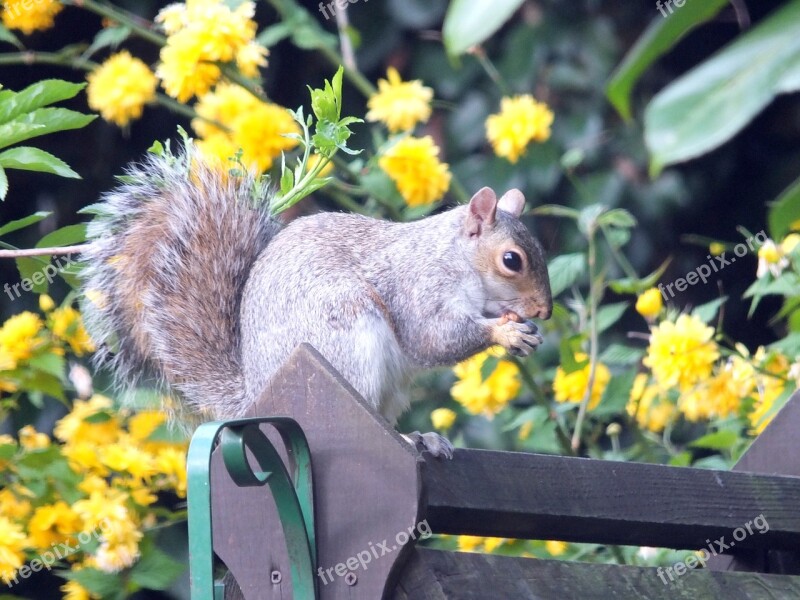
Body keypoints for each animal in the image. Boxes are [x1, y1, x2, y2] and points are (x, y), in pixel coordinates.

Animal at [83, 145, 552, 460]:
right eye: (512, 260)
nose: (544, 311)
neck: (455, 259)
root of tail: (255, 390)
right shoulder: (416, 288)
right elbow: (433, 338)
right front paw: (505, 332)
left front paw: (524, 328)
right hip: (345, 339)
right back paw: (405, 440)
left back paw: (420, 438)